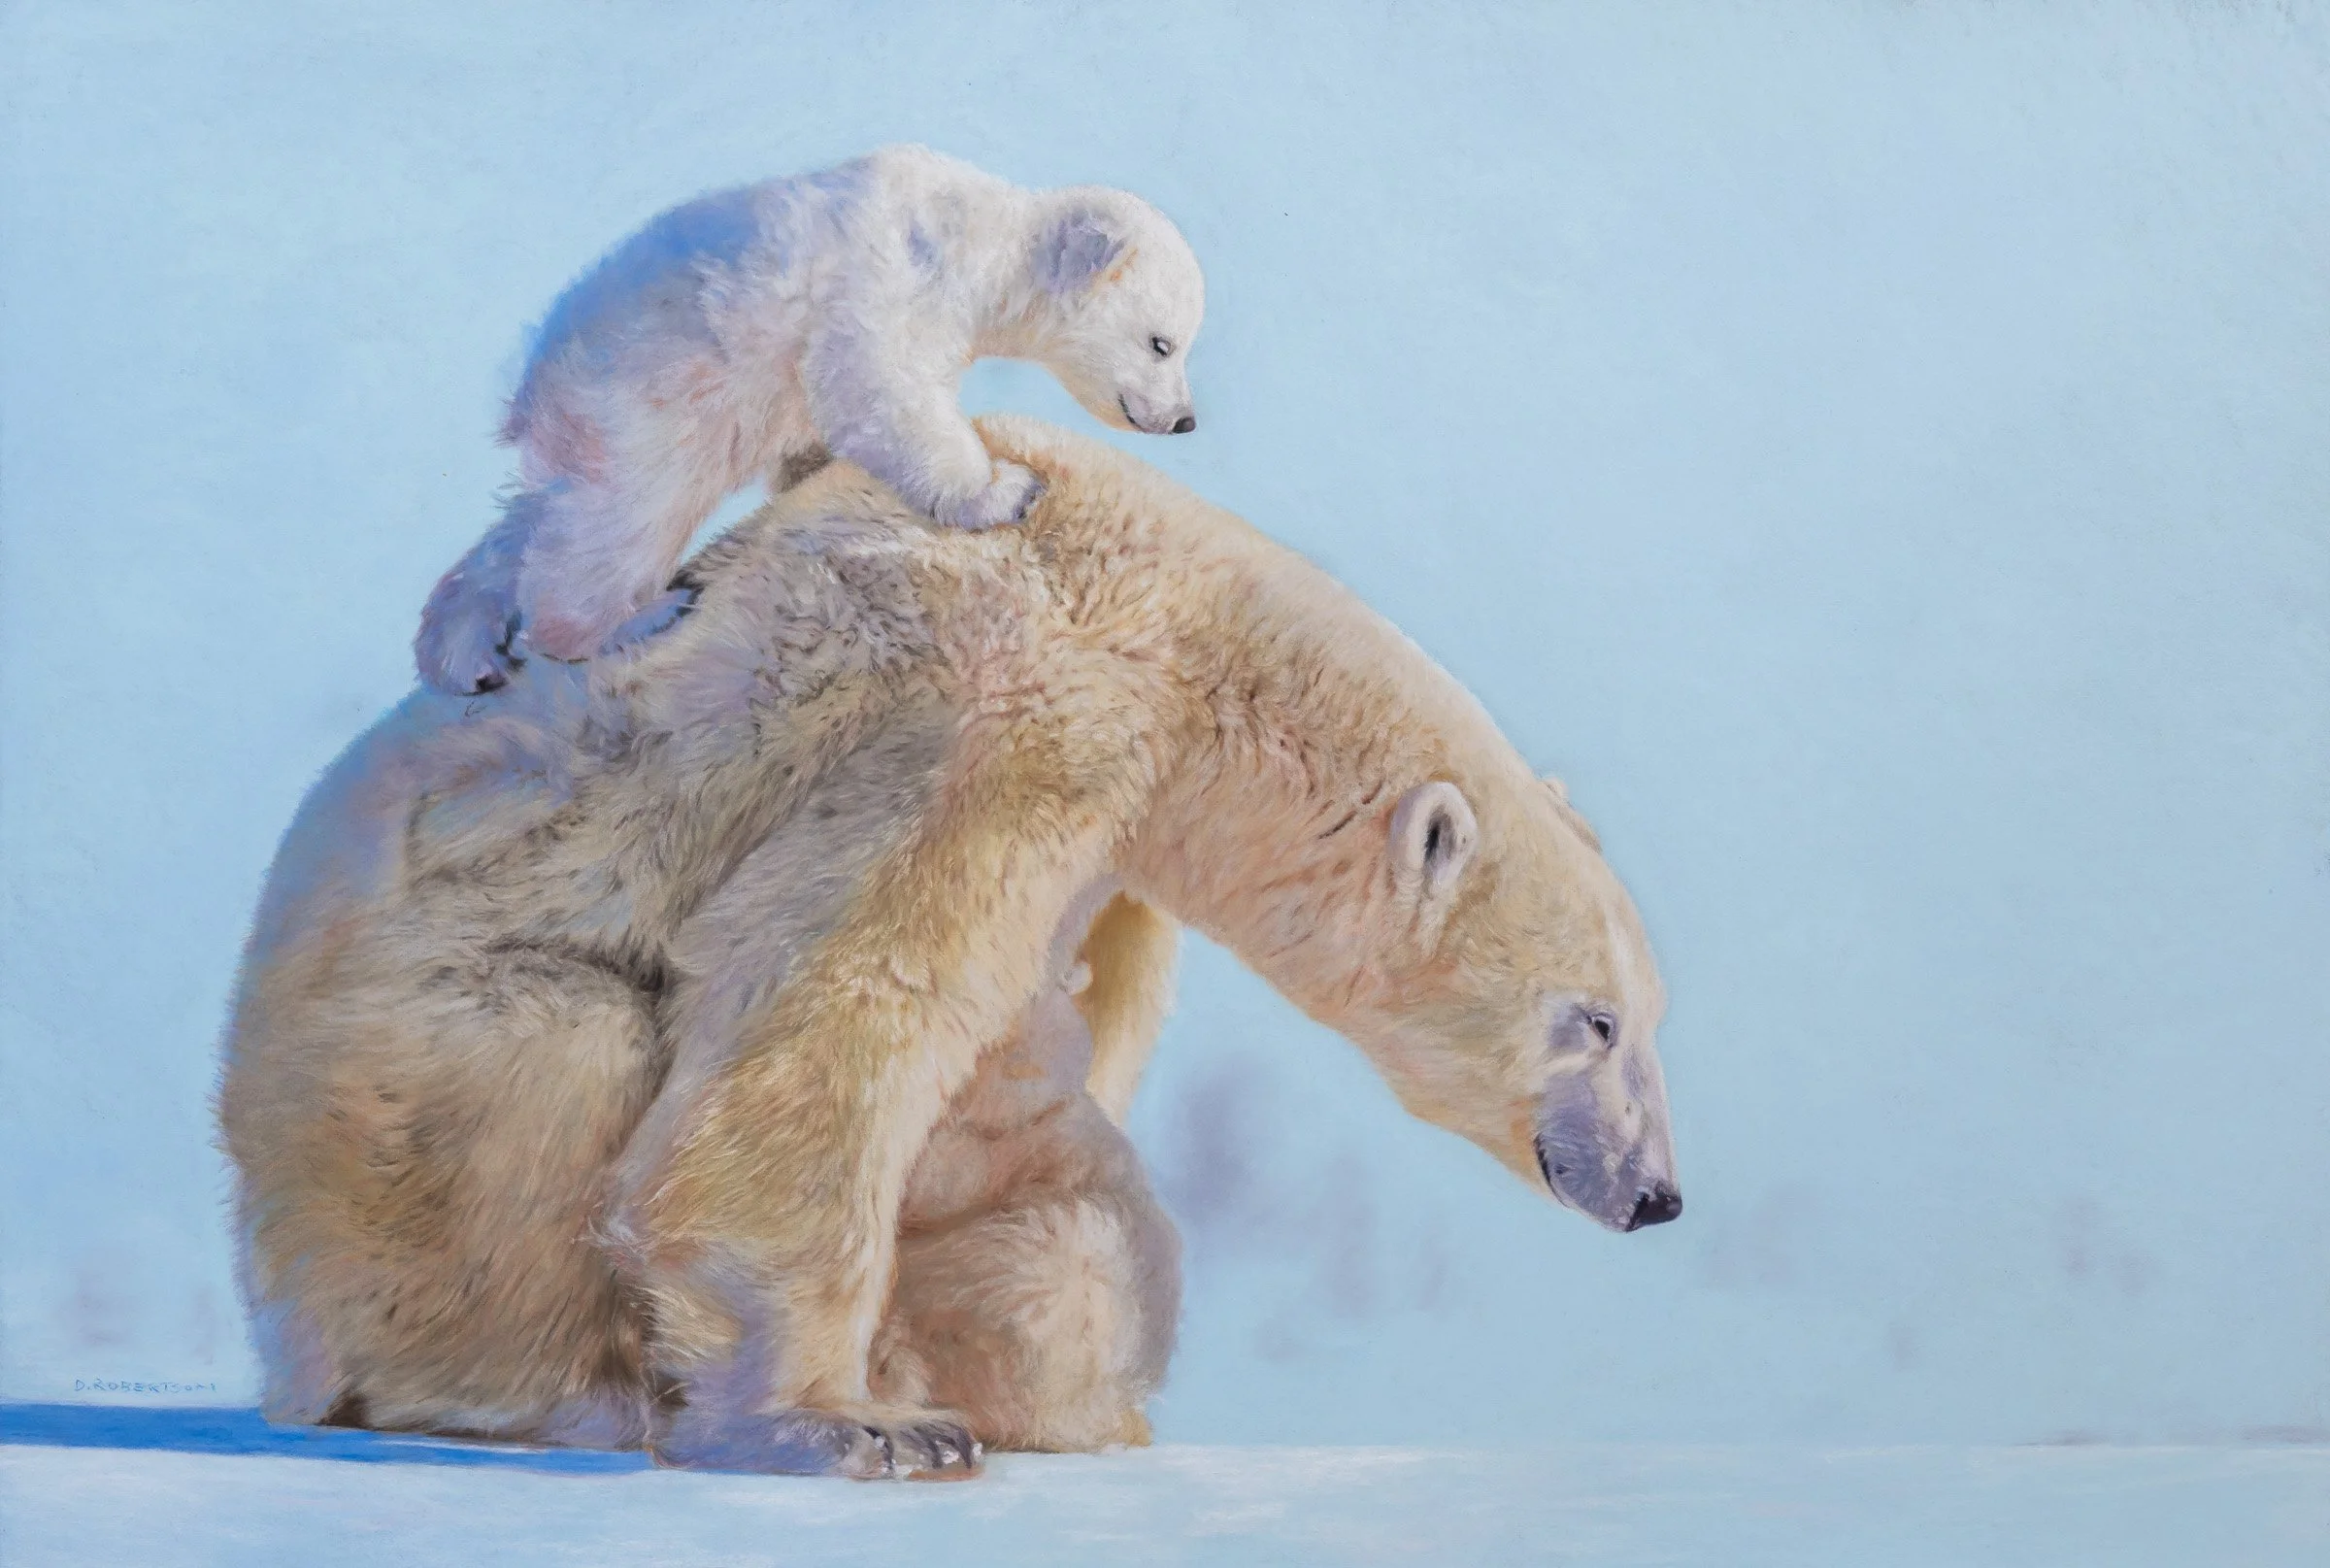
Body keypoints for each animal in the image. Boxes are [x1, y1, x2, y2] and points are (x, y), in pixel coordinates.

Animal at [220, 415, 1678, 1479]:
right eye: (1596, 1018)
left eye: (1656, 1014)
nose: (1658, 1193)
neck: (1185, 627)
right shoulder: (1019, 713)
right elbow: (849, 1001)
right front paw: (847, 1422)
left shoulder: (1117, 849)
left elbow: (1063, 1131)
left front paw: (975, 1388)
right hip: (371, 1077)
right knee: (557, 1047)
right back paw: (558, 1392)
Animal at [414, 144, 1206, 697]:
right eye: (1161, 342)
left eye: (1186, 340)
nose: (1185, 421)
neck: (978, 237)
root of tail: (530, 386)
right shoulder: (888, 288)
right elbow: (881, 389)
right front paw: (1005, 488)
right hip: (645, 404)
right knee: (613, 523)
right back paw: (630, 618)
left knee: (538, 519)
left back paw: (467, 654)